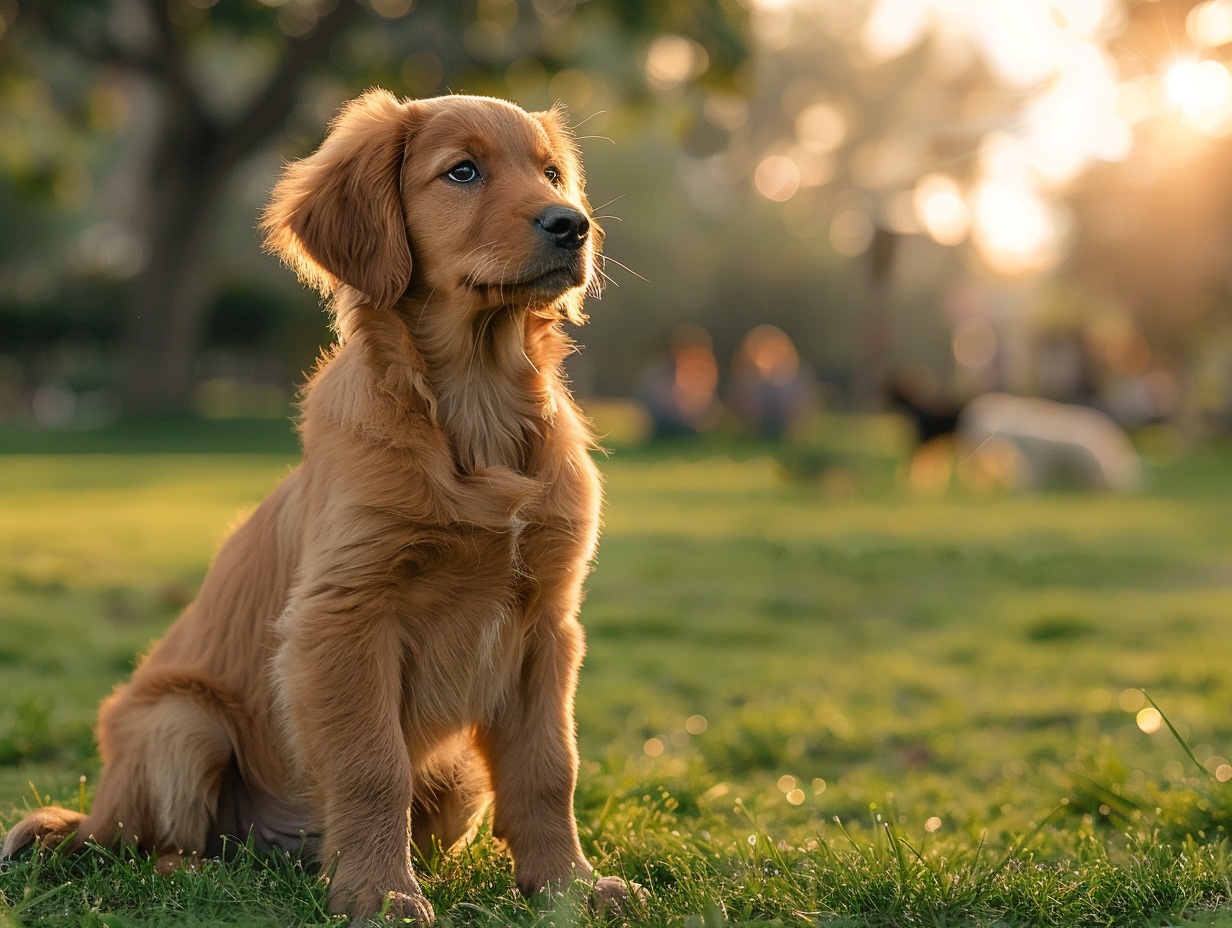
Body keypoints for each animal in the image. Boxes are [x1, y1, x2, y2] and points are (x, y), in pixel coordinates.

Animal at [2, 86, 635, 921]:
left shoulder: (546, 623)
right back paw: (201, 875)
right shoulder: (343, 616)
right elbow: (373, 767)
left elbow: (548, 769)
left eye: (552, 172)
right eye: (462, 172)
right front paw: (381, 894)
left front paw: (570, 888)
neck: (476, 406)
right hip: (177, 722)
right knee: (144, 848)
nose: (573, 224)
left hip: (457, 776)